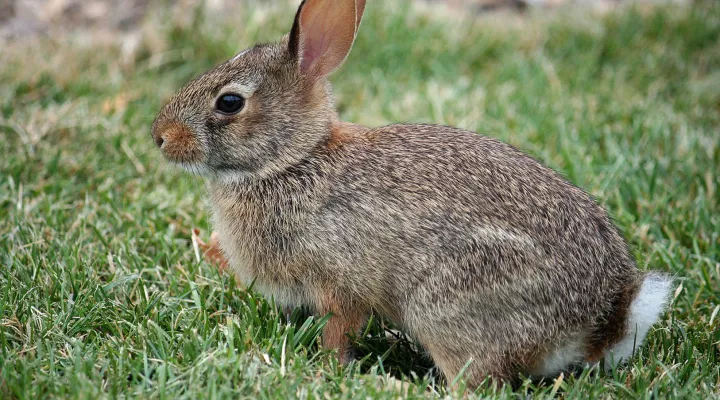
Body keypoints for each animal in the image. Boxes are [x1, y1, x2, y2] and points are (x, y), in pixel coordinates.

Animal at [152, 0, 676, 388]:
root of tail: (603, 322)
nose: (159, 136)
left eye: (230, 102)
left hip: (447, 305)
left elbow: (339, 329)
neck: (293, 161)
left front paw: (328, 370)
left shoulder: (339, 281)